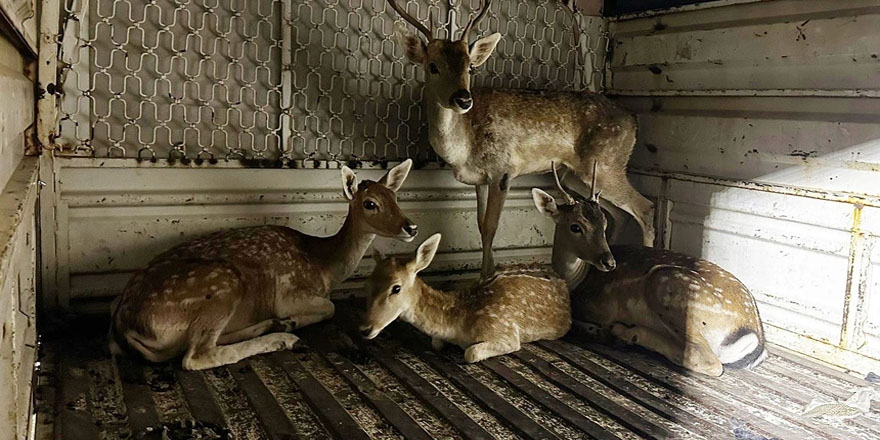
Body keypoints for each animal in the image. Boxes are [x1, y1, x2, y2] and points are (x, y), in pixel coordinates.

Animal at [110, 160, 420, 370]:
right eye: (370, 203)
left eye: (395, 197)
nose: (412, 227)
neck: (324, 267)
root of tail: (125, 326)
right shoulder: (288, 291)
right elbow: (330, 307)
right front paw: (291, 320)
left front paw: (286, 321)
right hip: (221, 285)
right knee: (197, 355)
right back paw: (283, 336)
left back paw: (272, 326)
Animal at [358, 232, 572, 362]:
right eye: (366, 284)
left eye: (396, 288)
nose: (365, 329)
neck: (458, 327)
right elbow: (436, 343)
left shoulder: (506, 333)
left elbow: (471, 352)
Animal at [390, 0, 652, 278]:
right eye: (433, 66)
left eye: (470, 66)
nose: (463, 99)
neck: (462, 148)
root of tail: (633, 121)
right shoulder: (480, 180)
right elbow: (481, 226)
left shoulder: (503, 170)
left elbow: (491, 228)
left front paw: (486, 277)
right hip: (578, 176)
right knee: (618, 213)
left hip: (605, 164)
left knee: (644, 207)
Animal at [532, 163, 768, 376]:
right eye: (575, 226)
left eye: (604, 224)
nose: (609, 262)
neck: (577, 280)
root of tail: (753, 335)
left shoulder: (602, 309)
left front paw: (597, 330)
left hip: (669, 284)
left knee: (706, 360)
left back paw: (623, 333)